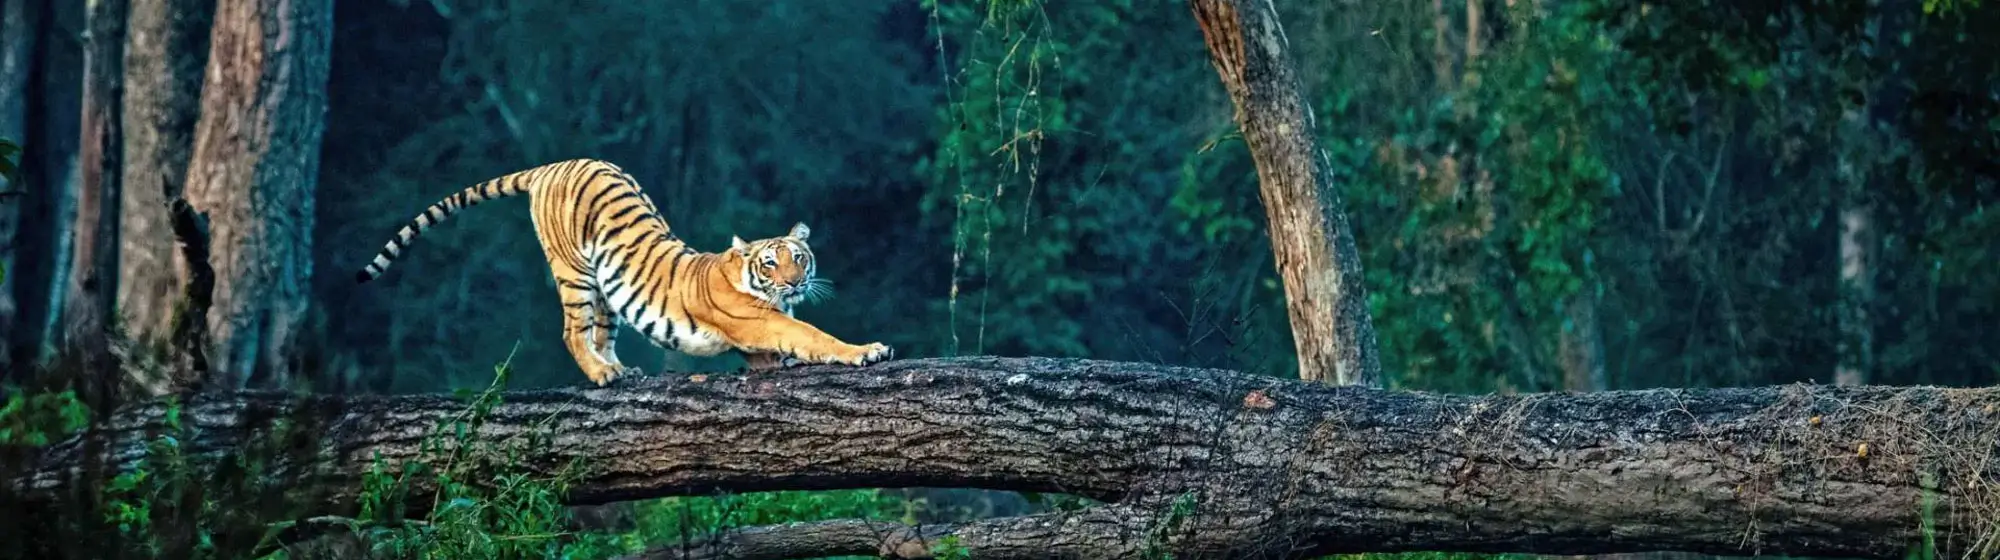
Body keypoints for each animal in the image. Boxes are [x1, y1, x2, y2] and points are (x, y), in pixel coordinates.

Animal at [354, 158, 894, 385]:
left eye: (799, 257)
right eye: (770, 263)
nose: (795, 282)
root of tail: (550, 165)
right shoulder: (760, 321)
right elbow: (813, 335)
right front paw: (868, 351)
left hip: (608, 290)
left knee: (601, 332)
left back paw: (619, 368)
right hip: (573, 273)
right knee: (573, 331)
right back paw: (602, 376)